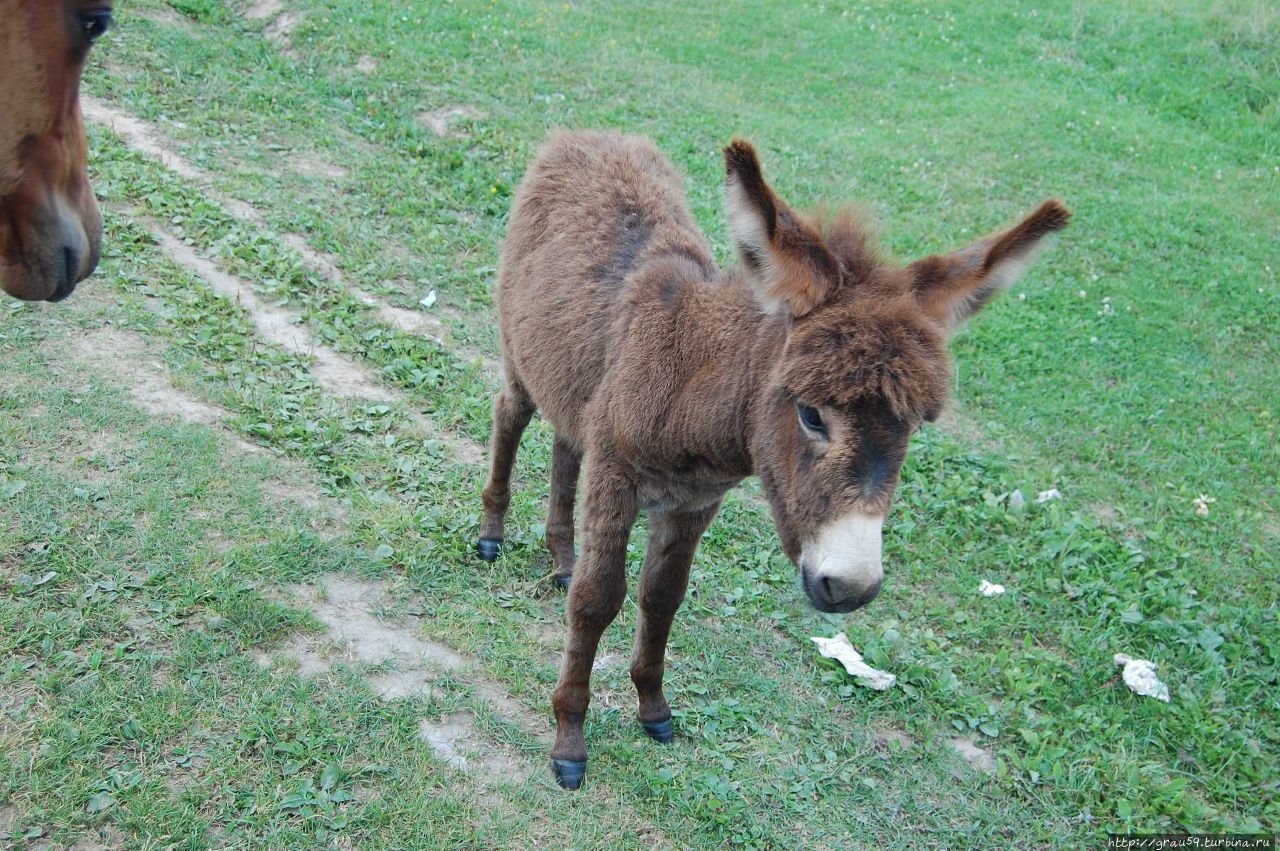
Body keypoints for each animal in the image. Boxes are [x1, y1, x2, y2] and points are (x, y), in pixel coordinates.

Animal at [476, 129, 1064, 788]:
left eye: (914, 426)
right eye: (810, 414)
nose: (851, 587)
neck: (689, 378)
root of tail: (590, 135)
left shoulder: (693, 504)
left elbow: (663, 596)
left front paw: (653, 709)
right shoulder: (618, 476)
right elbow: (599, 600)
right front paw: (570, 742)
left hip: (573, 380)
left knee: (565, 444)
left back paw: (561, 557)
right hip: (520, 349)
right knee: (510, 415)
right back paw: (491, 533)